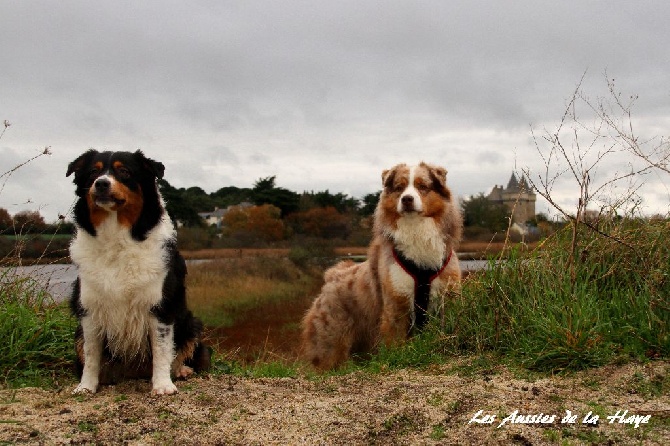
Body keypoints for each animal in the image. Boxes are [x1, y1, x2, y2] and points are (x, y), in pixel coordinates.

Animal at [67, 150, 210, 394]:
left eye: (124, 171)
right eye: (93, 172)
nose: (101, 183)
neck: (116, 238)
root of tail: (135, 372)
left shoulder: (160, 306)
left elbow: (162, 350)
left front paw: (162, 385)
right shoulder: (90, 308)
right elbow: (91, 353)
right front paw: (86, 387)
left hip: (191, 323)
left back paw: (182, 371)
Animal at [304, 162, 464, 372]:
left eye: (422, 186)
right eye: (399, 188)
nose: (407, 199)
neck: (416, 229)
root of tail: (333, 275)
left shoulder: (448, 298)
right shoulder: (396, 302)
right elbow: (395, 341)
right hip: (330, 341)